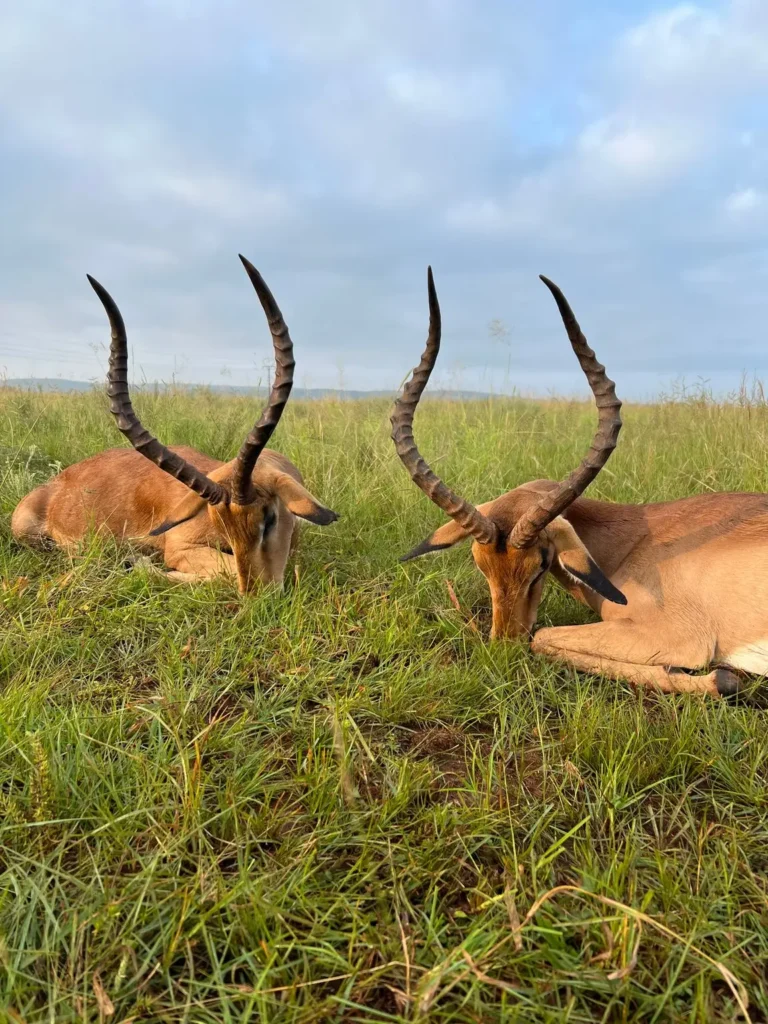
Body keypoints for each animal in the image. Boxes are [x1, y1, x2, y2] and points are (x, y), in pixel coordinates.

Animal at [12, 256, 338, 591]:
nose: (258, 594)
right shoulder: (182, 546)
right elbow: (223, 573)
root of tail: (57, 481)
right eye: (223, 526)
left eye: (269, 518)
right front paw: (142, 565)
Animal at [391, 268, 762, 697]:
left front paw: (723, 679)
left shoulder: (681, 638)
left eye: (540, 564)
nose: (504, 646)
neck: (636, 541)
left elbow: (543, 638)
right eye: (480, 564)